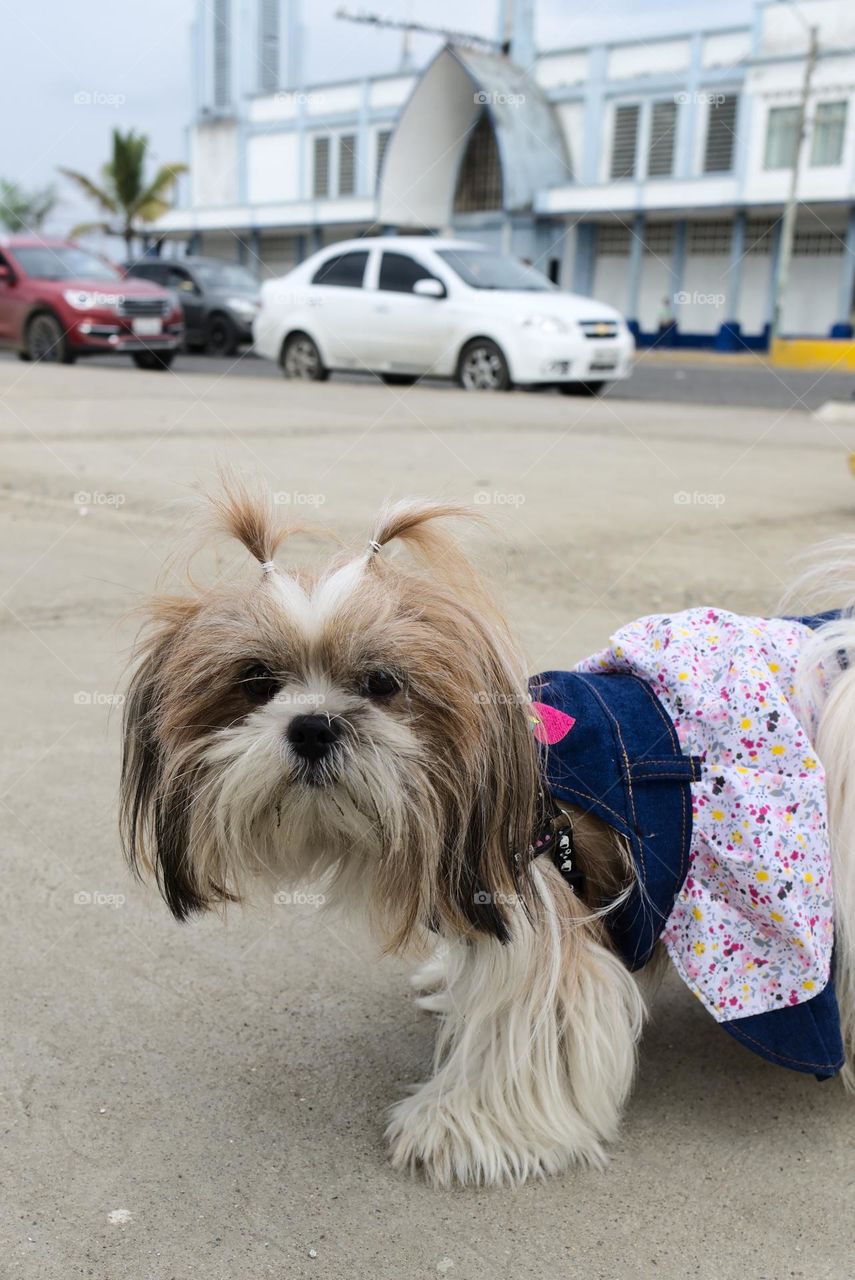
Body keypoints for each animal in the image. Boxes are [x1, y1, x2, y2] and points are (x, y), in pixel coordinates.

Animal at [120, 483, 855, 1182]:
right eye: (255, 680)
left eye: (381, 681)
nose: (313, 725)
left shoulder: (542, 919)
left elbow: (524, 1031)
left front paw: (454, 1127)